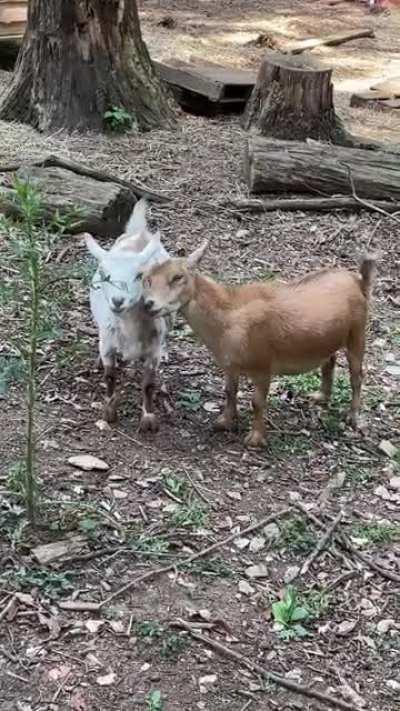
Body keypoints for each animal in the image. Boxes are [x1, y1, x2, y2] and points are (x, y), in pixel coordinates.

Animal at [83, 199, 169, 432]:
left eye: (139, 275)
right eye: (104, 274)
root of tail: (138, 232)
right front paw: (109, 412)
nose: (118, 301)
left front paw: (148, 418)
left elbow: (148, 384)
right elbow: (110, 376)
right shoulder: (108, 343)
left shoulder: (154, 350)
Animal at [141, 243, 376, 447]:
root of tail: (359, 281)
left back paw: (352, 417)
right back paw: (320, 397)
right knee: (329, 360)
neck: (228, 317)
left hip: (357, 332)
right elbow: (230, 391)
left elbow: (257, 401)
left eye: (177, 277)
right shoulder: (230, 365)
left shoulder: (263, 364)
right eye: (148, 279)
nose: (149, 304)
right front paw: (224, 422)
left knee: (357, 375)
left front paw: (255, 439)